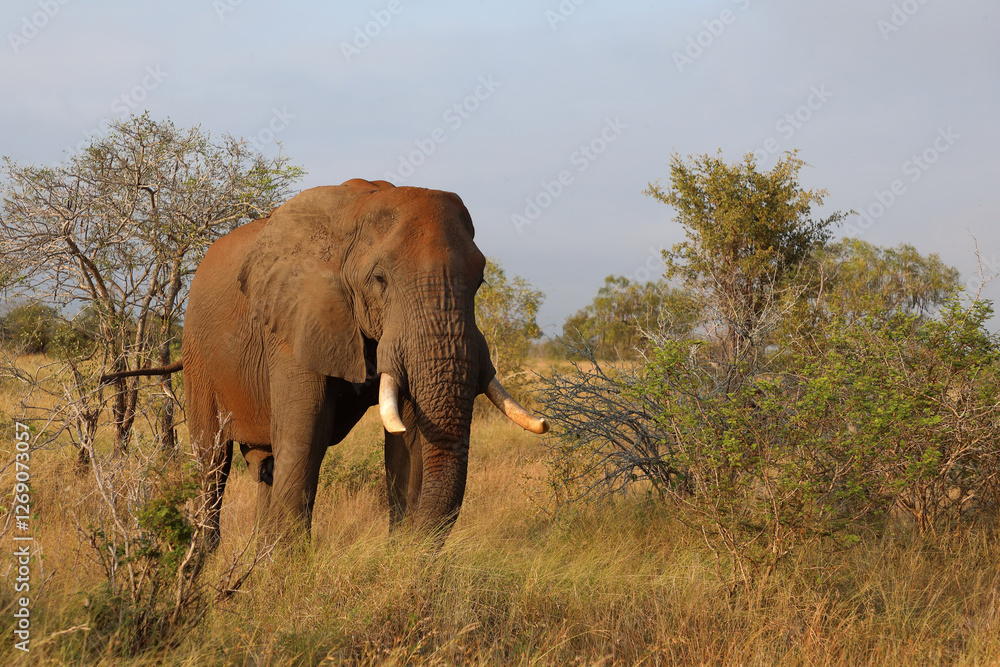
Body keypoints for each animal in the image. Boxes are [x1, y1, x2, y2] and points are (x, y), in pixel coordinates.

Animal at [104, 178, 547, 544]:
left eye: (480, 281)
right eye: (379, 280)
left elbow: (407, 440)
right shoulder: (296, 318)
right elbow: (306, 431)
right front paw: (284, 573)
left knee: (263, 464)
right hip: (199, 356)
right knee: (212, 460)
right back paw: (206, 557)